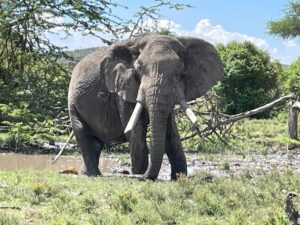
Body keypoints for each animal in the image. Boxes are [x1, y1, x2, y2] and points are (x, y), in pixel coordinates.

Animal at [65, 33, 223, 180]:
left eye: (180, 70)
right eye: (139, 69)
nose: (134, 175)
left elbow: (170, 129)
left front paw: (178, 177)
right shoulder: (123, 86)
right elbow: (136, 128)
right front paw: (140, 173)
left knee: (96, 143)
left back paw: (86, 173)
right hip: (72, 102)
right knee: (83, 133)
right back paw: (95, 175)